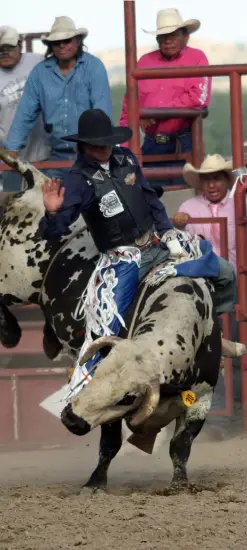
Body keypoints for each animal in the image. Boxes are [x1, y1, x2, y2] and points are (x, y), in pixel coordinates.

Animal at [61, 276, 222, 492]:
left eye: (128, 398)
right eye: (98, 370)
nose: (71, 419)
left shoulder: (202, 400)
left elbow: (179, 445)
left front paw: (180, 484)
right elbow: (109, 445)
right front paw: (94, 483)